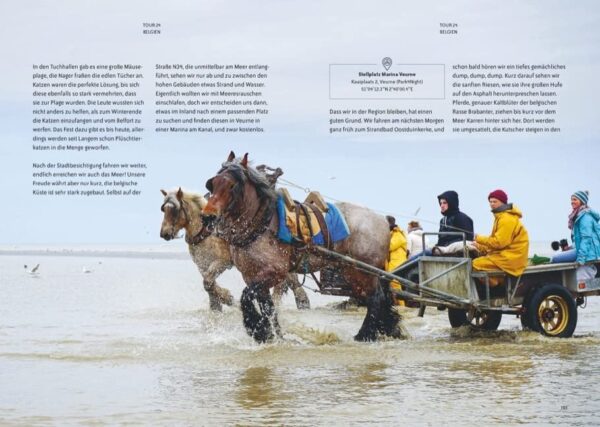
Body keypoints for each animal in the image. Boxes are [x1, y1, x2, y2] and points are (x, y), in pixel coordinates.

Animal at [202, 152, 404, 342]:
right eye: (212, 184)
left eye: (232, 186)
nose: (208, 217)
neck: (263, 223)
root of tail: (382, 220)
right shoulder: (251, 275)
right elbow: (268, 308)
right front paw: (276, 336)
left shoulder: (275, 273)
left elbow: (246, 296)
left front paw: (259, 331)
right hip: (354, 271)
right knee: (378, 298)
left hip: (362, 272)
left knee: (376, 298)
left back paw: (364, 335)